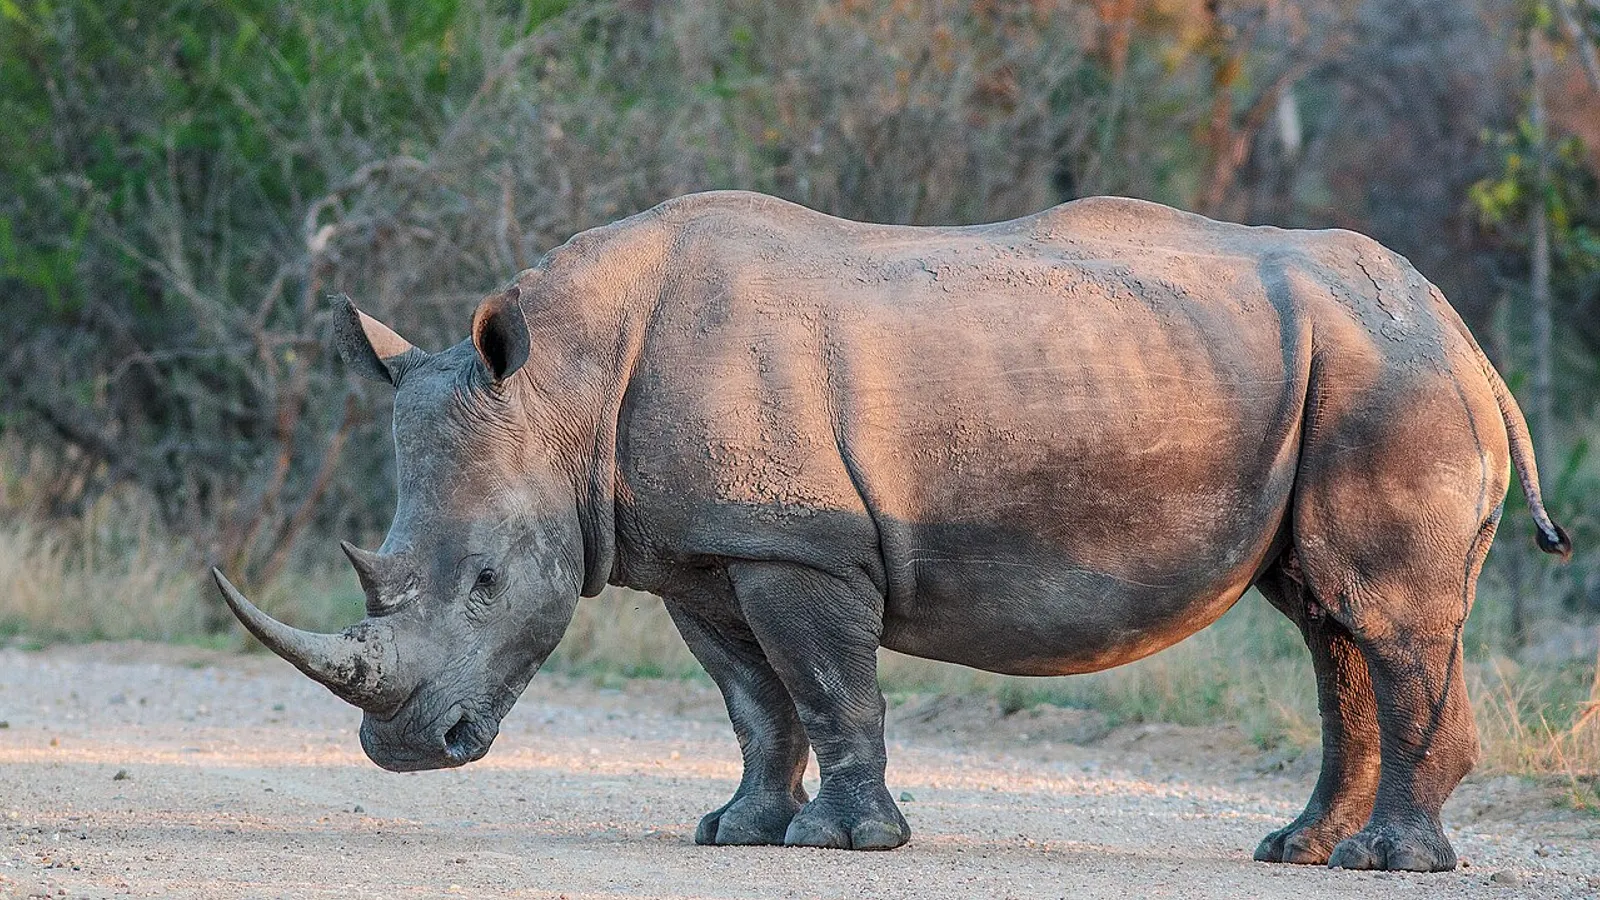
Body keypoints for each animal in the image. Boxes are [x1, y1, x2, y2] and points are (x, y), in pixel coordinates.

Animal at [214, 190, 1570, 872]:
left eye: (489, 583)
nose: (406, 751)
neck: (562, 390)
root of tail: (1460, 331)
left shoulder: (796, 547)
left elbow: (827, 687)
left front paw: (845, 841)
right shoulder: (702, 555)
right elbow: (753, 704)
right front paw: (737, 833)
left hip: (1389, 383)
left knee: (1380, 619)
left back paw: (1386, 862)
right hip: (1340, 371)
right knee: (1325, 619)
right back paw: (1292, 850)